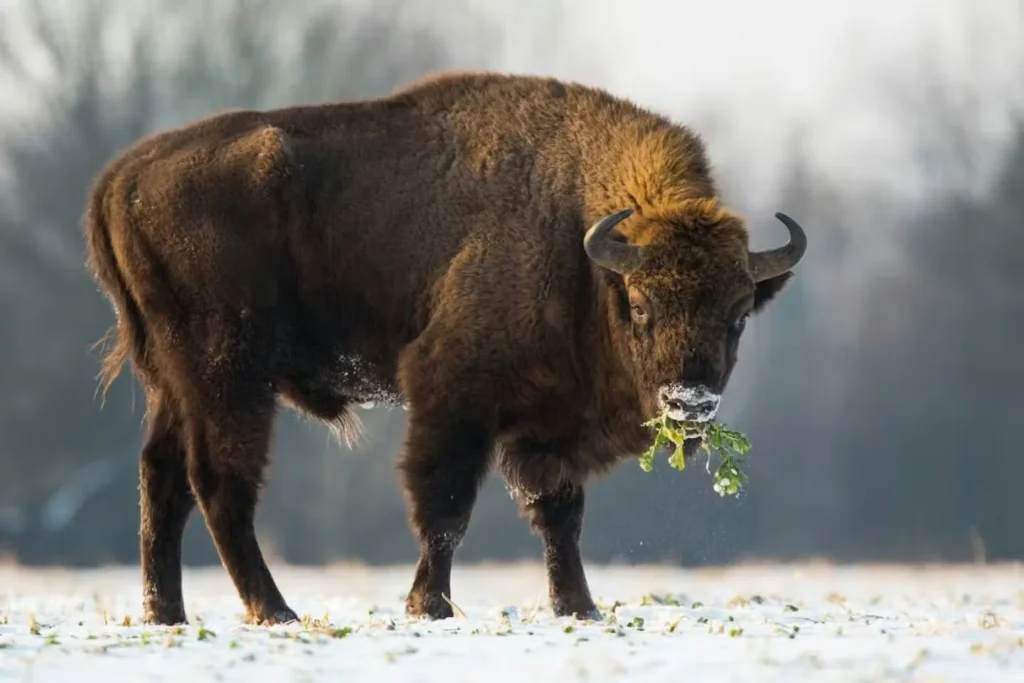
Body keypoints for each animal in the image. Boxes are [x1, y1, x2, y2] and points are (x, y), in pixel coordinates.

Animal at [83, 70, 806, 625]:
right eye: (642, 305)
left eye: (739, 314)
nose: (690, 401)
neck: (579, 242)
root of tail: (119, 178)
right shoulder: (454, 395)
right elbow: (447, 505)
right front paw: (428, 605)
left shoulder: (547, 427)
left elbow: (560, 515)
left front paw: (578, 607)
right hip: (229, 377)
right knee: (219, 481)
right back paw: (275, 610)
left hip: (174, 382)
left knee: (162, 478)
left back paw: (167, 613)